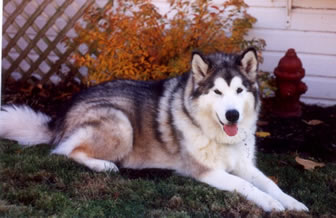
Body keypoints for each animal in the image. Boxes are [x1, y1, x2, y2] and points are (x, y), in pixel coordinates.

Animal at [0, 47, 308, 211]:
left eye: (239, 90)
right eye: (217, 92)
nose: (232, 115)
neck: (217, 135)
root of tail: (62, 116)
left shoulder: (244, 164)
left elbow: (269, 183)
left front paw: (292, 203)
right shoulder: (205, 171)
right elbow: (245, 185)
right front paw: (271, 205)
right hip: (121, 122)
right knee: (65, 151)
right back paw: (105, 165)